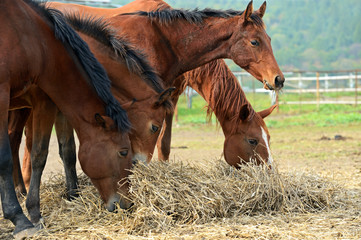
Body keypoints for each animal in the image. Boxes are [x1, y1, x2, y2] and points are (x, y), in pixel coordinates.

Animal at [48, 0, 284, 165]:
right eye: (255, 42)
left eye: (269, 138)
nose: (279, 79)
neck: (164, 41)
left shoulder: (169, 97)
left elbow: (164, 145)